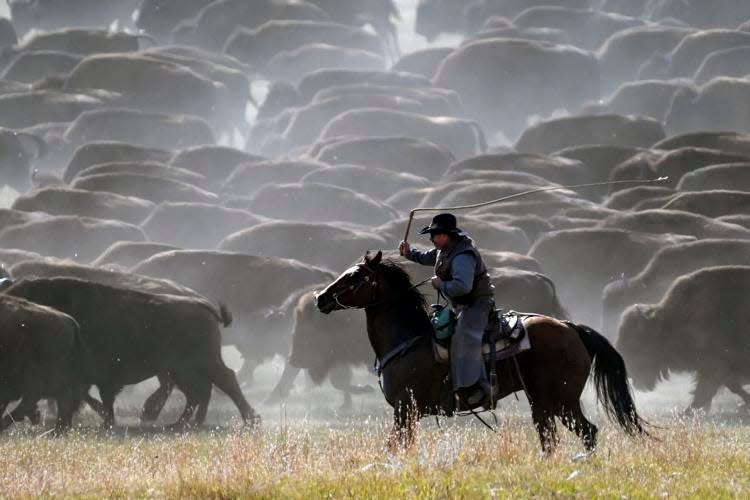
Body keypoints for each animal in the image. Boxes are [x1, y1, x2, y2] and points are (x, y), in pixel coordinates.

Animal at [314, 252, 648, 452]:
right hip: (542, 401)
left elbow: (396, 446)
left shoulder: (404, 409)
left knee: (587, 432)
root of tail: (571, 328)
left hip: (561, 400)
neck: (410, 339)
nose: (320, 297)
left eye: (354, 276)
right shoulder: (405, 412)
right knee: (550, 436)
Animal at [616, 268, 750, 412]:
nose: (629, 373)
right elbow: (729, 386)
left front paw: (687, 411)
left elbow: (706, 390)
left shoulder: (713, 365)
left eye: (634, 342)